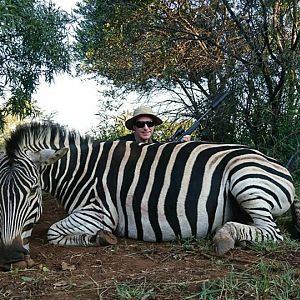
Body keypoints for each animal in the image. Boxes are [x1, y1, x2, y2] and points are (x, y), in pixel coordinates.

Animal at [0, 122, 298, 270]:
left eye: (32, 192)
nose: (9, 256)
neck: (82, 171)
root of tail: (276, 163)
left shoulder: (100, 211)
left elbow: (53, 232)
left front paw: (100, 238)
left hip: (246, 179)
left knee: (273, 232)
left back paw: (226, 236)